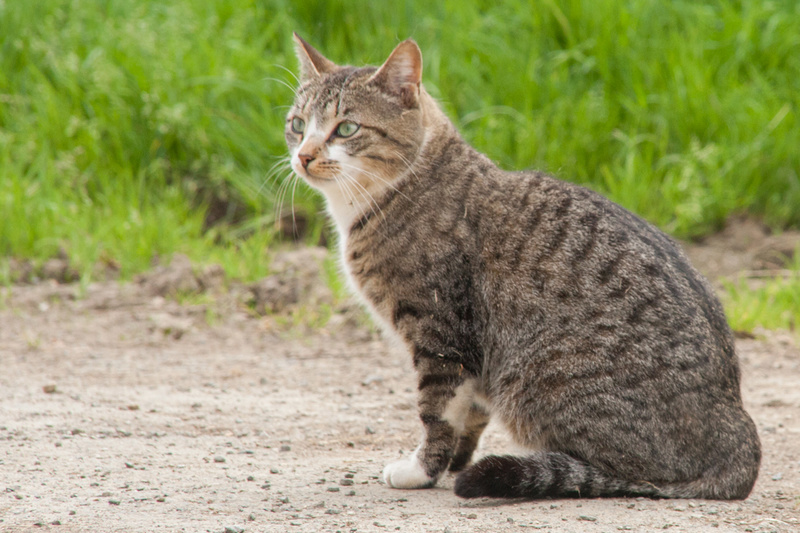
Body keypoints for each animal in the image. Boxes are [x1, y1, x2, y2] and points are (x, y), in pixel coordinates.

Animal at [284, 33, 760, 498]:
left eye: (346, 128)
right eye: (297, 125)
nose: (304, 155)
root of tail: (740, 437)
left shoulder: (442, 336)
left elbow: (437, 414)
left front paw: (422, 470)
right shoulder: (473, 361)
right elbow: (471, 417)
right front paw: (454, 462)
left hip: (540, 381)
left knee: (630, 475)